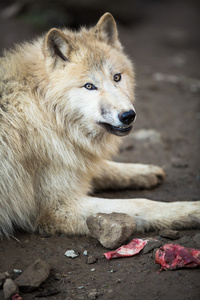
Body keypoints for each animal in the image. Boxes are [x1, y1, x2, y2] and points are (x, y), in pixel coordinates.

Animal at [0, 11, 200, 238]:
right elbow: (142, 204)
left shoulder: (74, 160)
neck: (45, 113)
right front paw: (191, 210)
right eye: (89, 86)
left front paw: (143, 171)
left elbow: (104, 167)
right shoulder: (59, 208)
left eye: (117, 77)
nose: (128, 115)